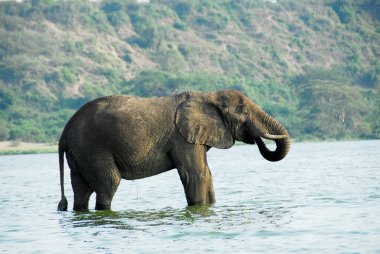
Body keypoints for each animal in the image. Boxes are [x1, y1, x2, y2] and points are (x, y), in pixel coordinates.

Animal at [56, 90, 290, 211]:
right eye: (243, 112)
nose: (256, 138)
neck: (208, 96)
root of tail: (64, 132)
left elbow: (207, 175)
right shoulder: (182, 138)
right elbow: (196, 175)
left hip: (80, 154)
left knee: (81, 190)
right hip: (93, 149)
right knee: (108, 184)